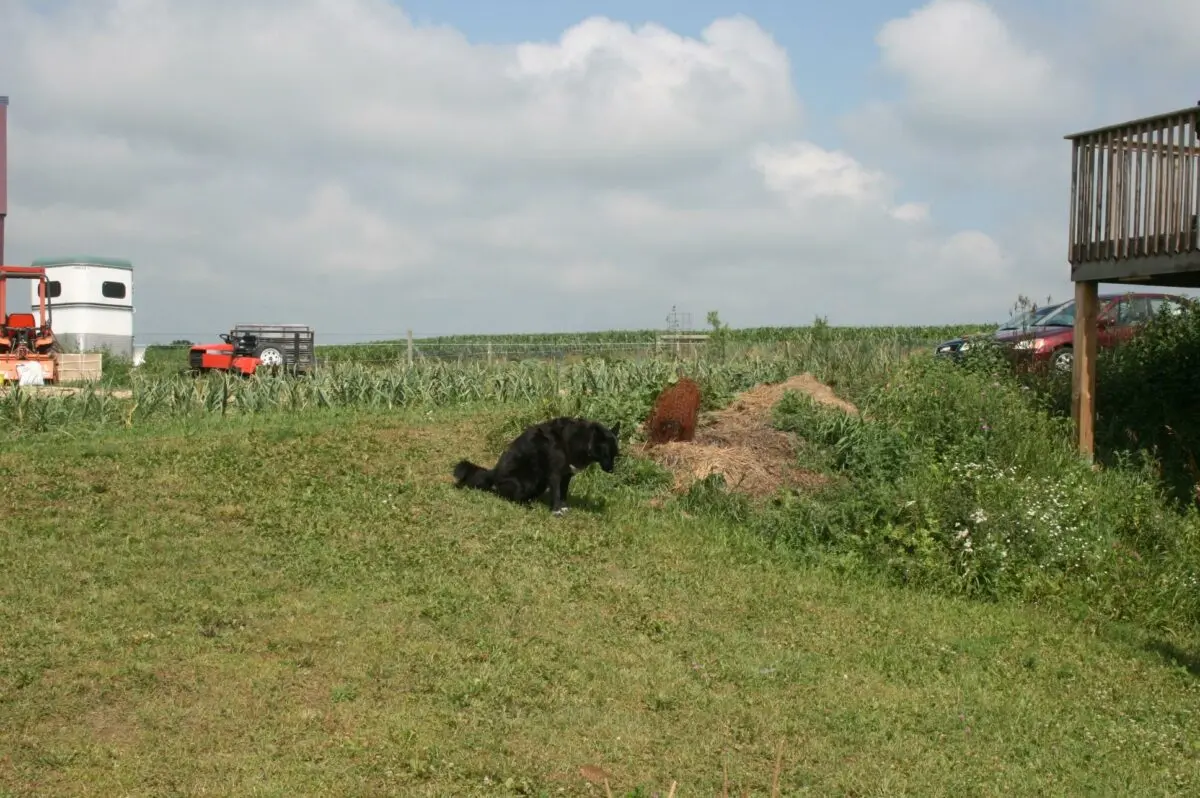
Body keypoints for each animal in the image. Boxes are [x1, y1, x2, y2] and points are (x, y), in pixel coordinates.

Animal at [451, 417, 619, 516]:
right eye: (606, 453)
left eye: (615, 455)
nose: (611, 470)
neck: (581, 440)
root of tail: (494, 473)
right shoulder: (554, 475)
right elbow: (556, 493)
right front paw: (556, 511)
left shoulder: (566, 475)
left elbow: (563, 493)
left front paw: (563, 507)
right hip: (525, 482)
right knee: (509, 497)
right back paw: (527, 506)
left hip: (539, 484)